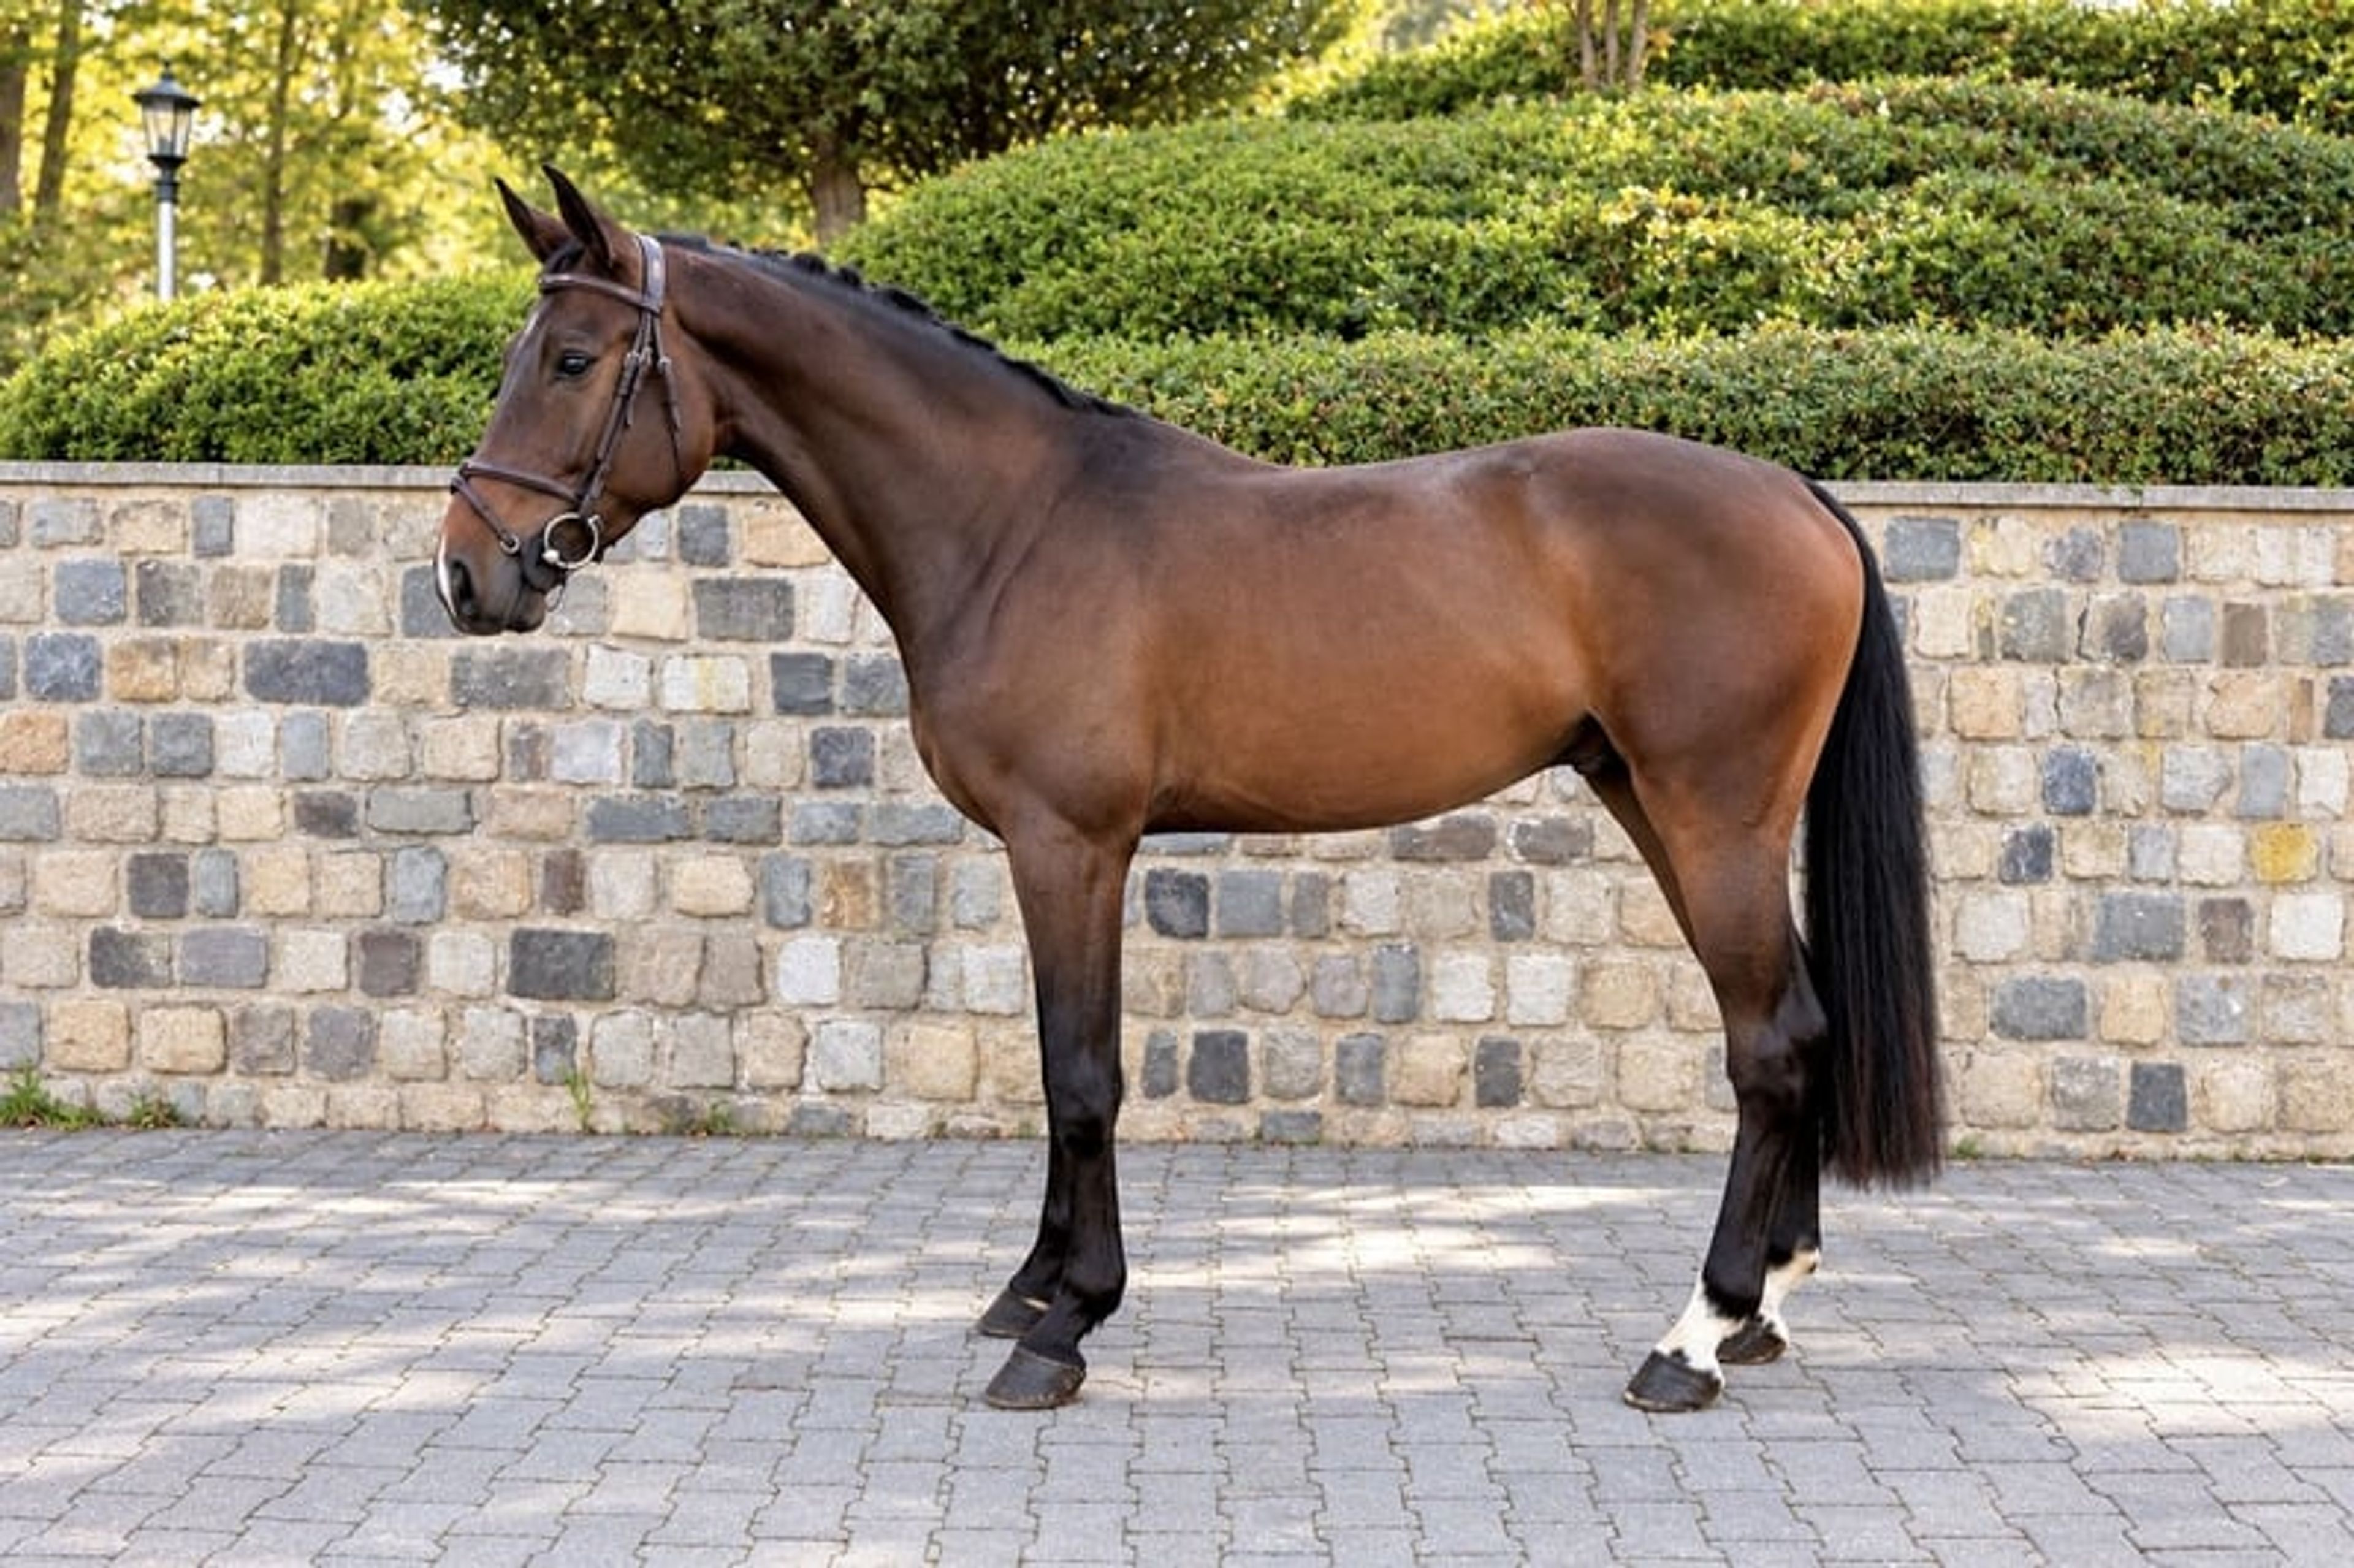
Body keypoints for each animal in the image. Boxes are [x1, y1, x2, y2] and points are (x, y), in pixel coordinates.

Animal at [436, 168, 1943, 1415]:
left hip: (1710, 814)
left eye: (572, 359)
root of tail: (1797, 493)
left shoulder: (1071, 843)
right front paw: (1030, 1289)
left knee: (1770, 1043)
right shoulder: (1060, 852)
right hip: (1659, 803)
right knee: (1799, 1025)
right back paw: (1765, 1307)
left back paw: (1693, 1338)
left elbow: (1082, 1073)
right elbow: (1062, 1066)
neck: (1018, 524)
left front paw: (1066, 1327)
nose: (468, 571)